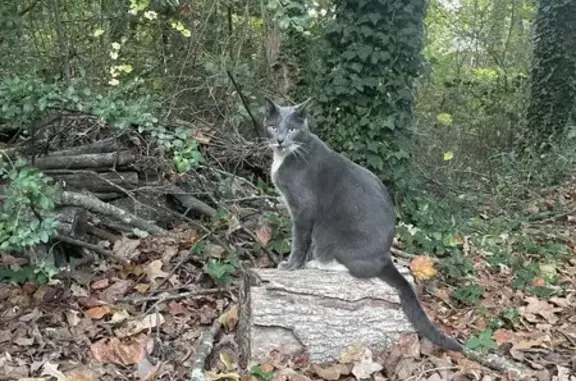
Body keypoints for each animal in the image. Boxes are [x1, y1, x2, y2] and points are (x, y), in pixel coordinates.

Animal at [264, 96, 466, 352]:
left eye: (292, 129)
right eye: (273, 126)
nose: (280, 139)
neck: (286, 157)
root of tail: (385, 256)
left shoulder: (303, 210)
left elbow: (299, 240)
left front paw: (290, 265)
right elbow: (305, 242)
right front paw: (298, 264)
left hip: (332, 236)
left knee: (359, 269)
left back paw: (321, 264)